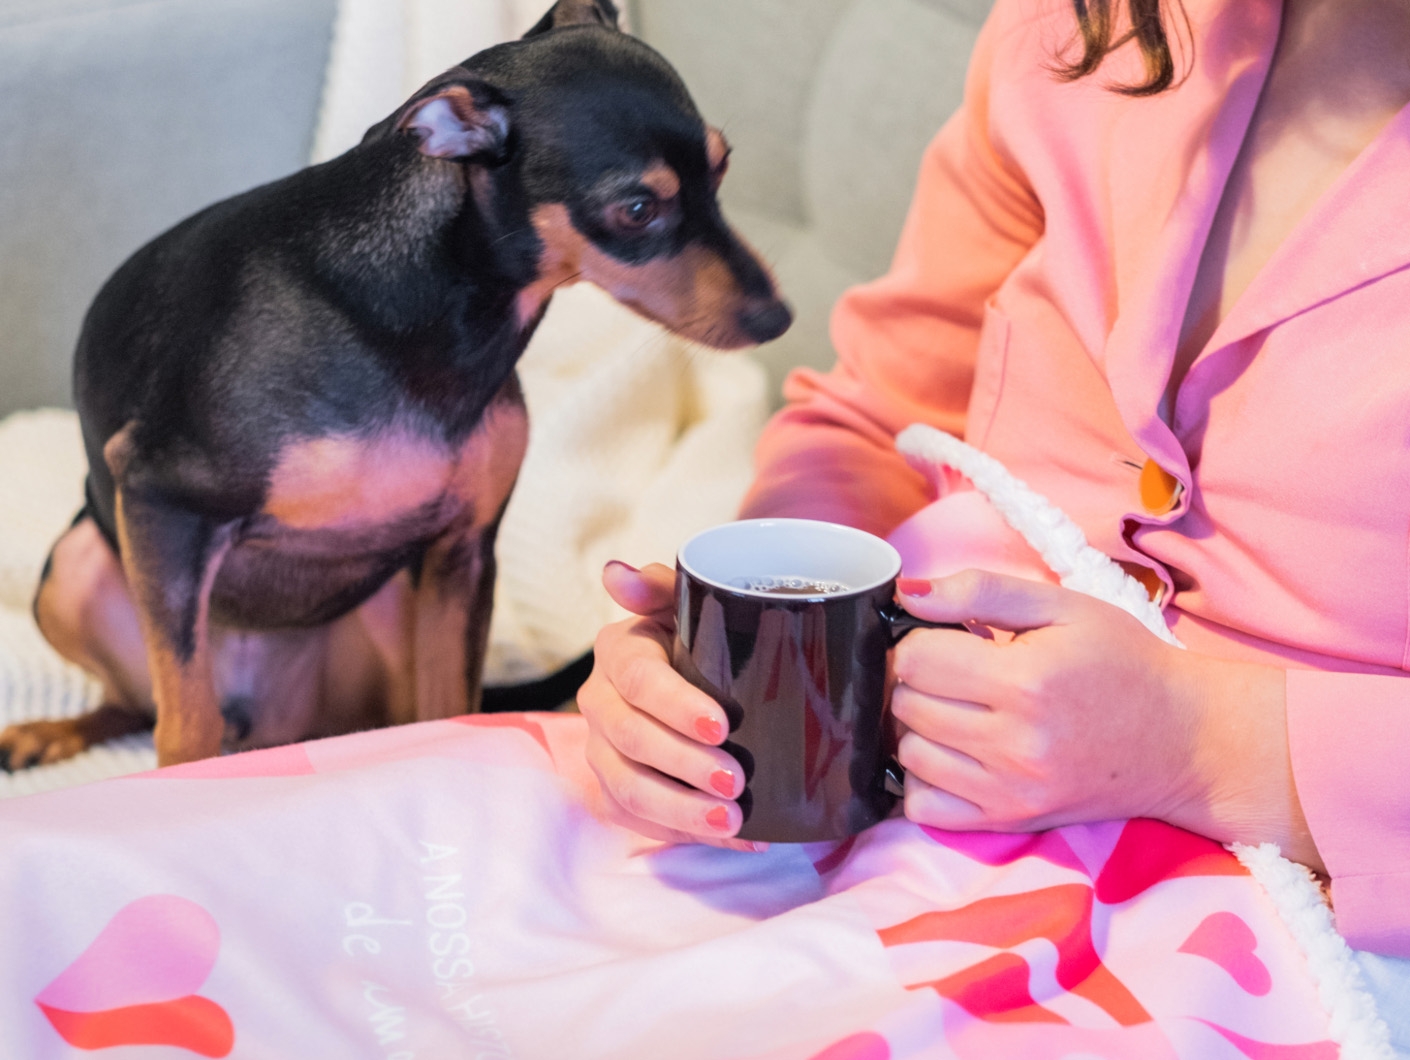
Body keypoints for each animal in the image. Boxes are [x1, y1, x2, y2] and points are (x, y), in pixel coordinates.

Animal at [0, 0, 795, 766]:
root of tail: (264, 728)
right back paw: (53, 731)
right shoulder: (162, 503)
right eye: (636, 210)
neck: (433, 309)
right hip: (79, 571)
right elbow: (183, 731)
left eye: (722, 168)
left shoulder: (460, 558)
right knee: (147, 706)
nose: (777, 316)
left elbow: (451, 709)